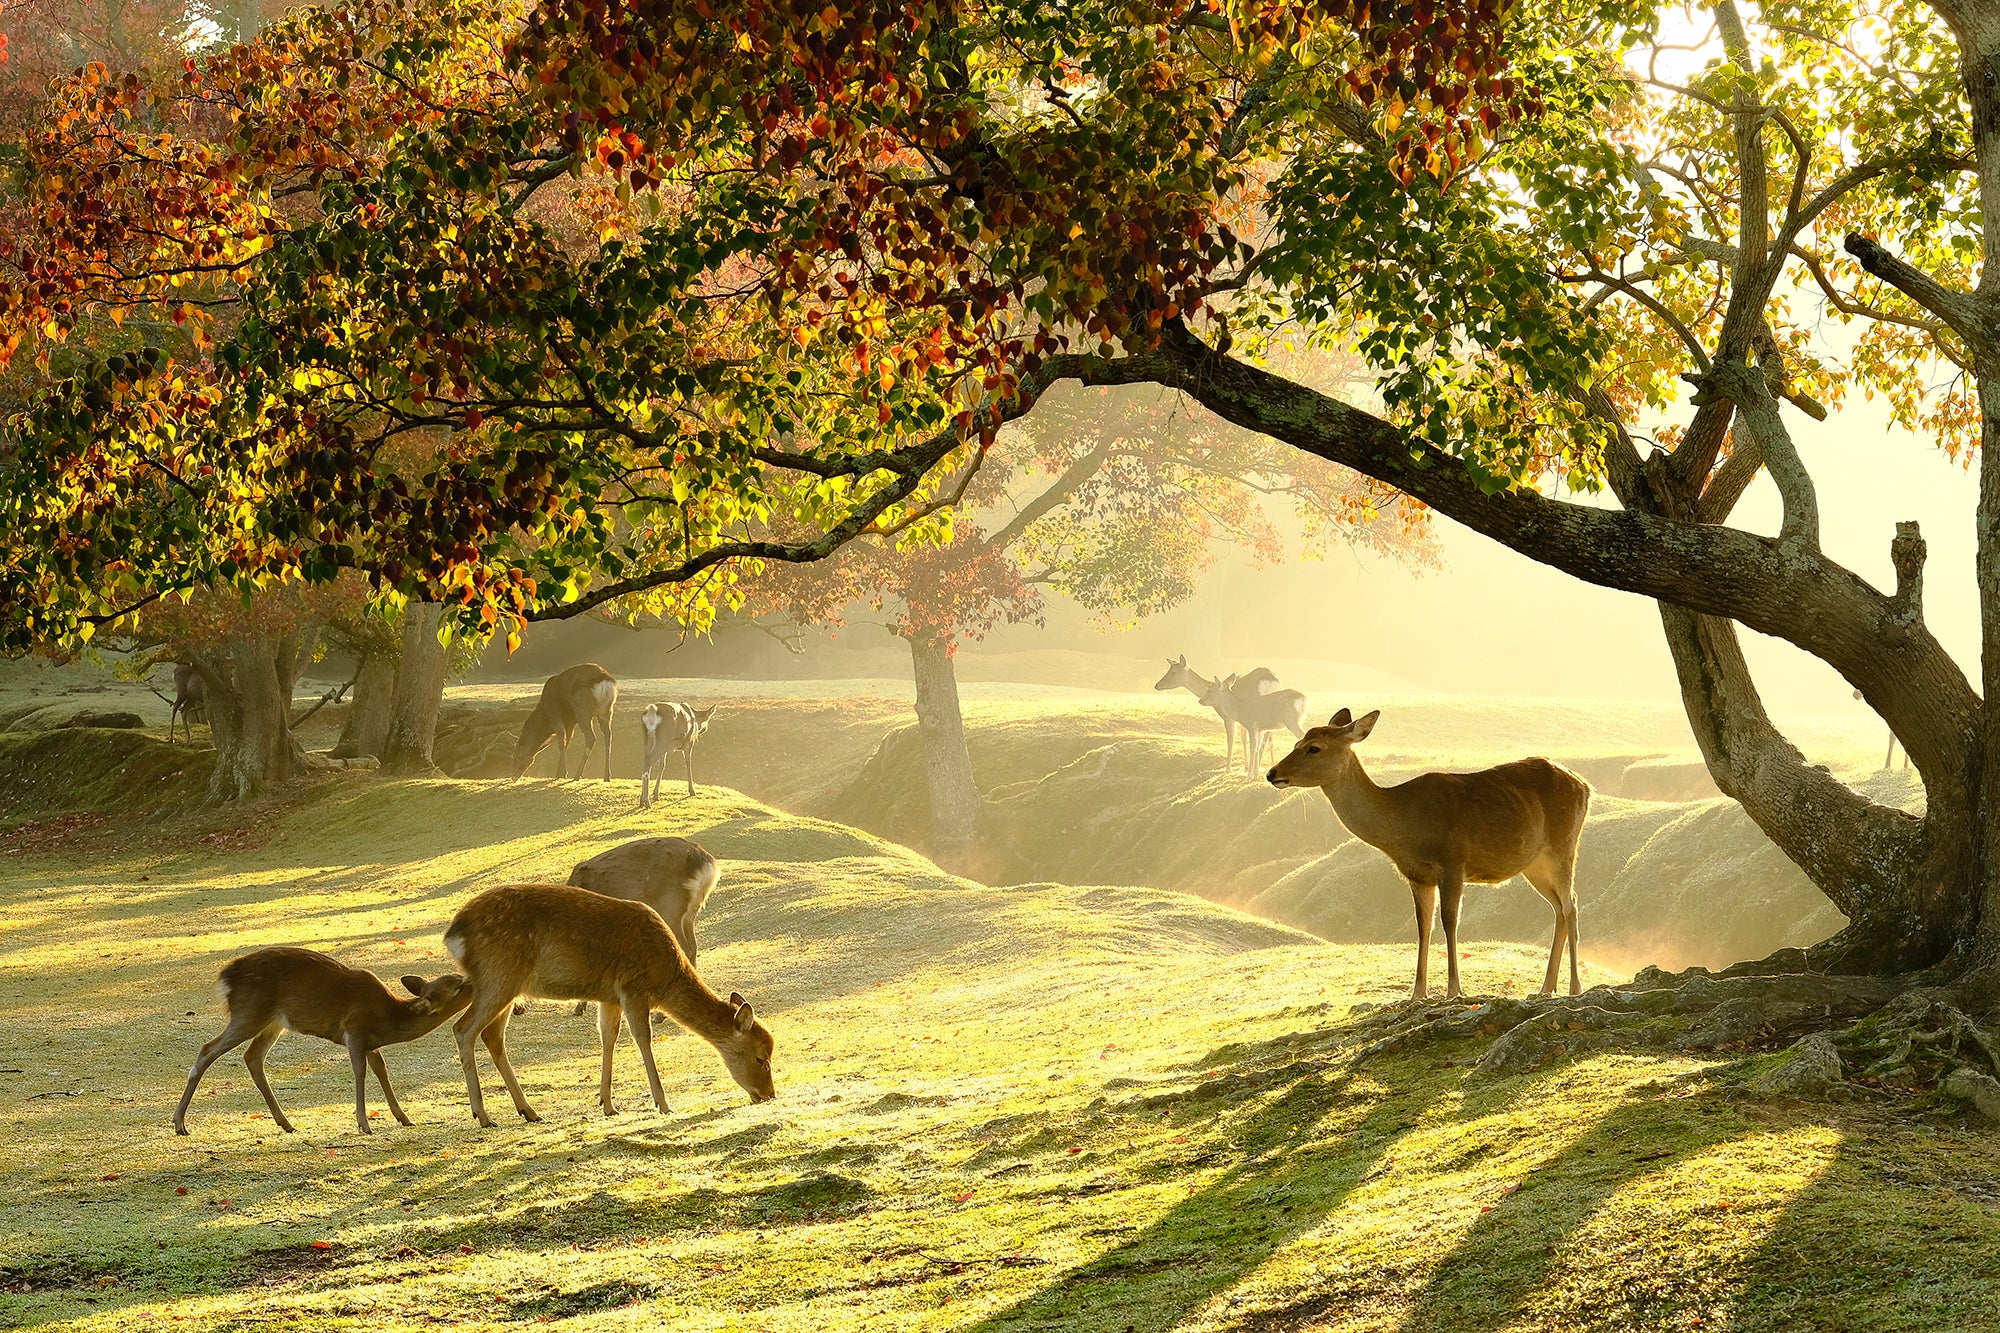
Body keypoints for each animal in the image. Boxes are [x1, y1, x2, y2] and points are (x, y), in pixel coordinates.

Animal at [172, 947, 472, 1137]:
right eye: (457, 986)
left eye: (456, 979)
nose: (473, 980)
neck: (390, 1017)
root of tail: (225, 977)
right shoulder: (354, 1029)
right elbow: (360, 1072)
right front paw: (364, 1124)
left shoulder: (370, 1042)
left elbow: (382, 1071)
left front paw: (404, 1118)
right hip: (249, 1013)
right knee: (208, 1050)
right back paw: (179, 1123)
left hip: (273, 1022)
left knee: (252, 1056)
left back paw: (286, 1123)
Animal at [443, 883, 775, 1126]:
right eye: (761, 1058)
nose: (769, 1094)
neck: (666, 978)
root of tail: (453, 935)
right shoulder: (633, 988)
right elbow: (642, 1039)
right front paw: (663, 1104)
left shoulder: (609, 997)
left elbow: (608, 1037)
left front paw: (607, 1103)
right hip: (498, 976)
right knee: (463, 1028)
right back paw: (483, 1115)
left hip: (508, 986)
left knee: (492, 1035)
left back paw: (529, 1111)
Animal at [1154, 655, 1286, 773]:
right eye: (1169, 670)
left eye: (1173, 672)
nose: (1157, 685)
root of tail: (1270, 682)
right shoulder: (1242, 720)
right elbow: (1244, 739)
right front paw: (1246, 766)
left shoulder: (1229, 717)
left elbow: (1231, 740)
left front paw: (1228, 769)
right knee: (1269, 736)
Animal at [1267, 708, 1591, 1000]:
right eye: (1296, 742)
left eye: (1314, 747)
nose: (1273, 773)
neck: (1405, 826)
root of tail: (1585, 787)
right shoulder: (1417, 875)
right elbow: (1423, 926)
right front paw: (1417, 994)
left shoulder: (1453, 861)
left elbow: (1449, 921)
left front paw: (1453, 991)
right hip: (1533, 864)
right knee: (1559, 907)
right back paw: (1546, 987)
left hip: (1563, 846)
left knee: (1571, 905)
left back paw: (1574, 987)